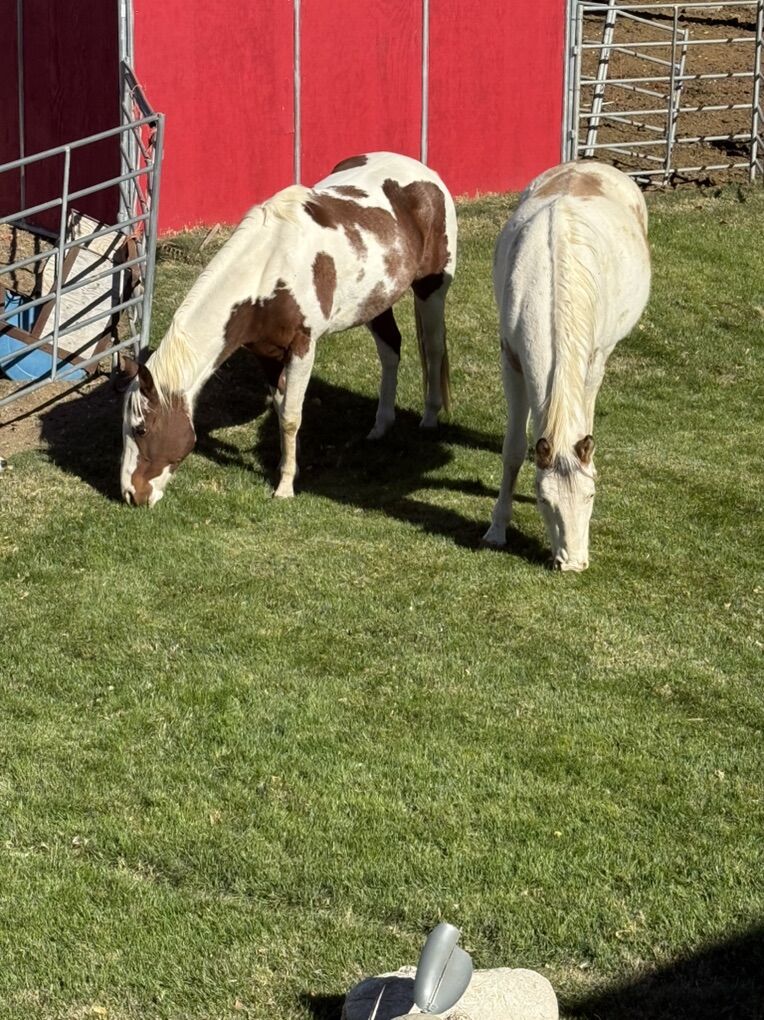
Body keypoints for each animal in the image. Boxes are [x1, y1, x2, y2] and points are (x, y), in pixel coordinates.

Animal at [120, 152, 457, 507]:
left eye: (141, 429)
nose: (131, 494)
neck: (268, 271)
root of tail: (425, 173)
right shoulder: (266, 353)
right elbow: (282, 411)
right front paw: (285, 468)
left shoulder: (302, 347)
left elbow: (292, 417)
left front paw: (284, 487)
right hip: (375, 301)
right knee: (391, 350)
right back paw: (381, 426)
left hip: (431, 288)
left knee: (434, 349)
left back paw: (430, 418)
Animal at [483, 161, 651, 571]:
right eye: (544, 500)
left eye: (590, 496)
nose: (572, 563)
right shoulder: (511, 361)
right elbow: (513, 449)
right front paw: (497, 529)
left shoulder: (593, 361)